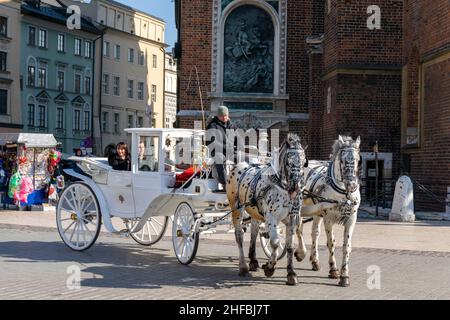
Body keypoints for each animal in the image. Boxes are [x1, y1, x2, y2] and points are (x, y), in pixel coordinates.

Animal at [227, 132, 308, 284]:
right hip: (236, 209)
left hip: (254, 211)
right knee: (239, 235)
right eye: (288, 161)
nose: (295, 187)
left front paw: (291, 273)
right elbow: (275, 242)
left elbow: (289, 246)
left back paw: (253, 260)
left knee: (254, 231)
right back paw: (243, 266)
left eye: (303, 161)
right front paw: (270, 267)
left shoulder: (292, 218)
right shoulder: (271, 217)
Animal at [296, 136, 362, 288]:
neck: (344, 194)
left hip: (316, 212)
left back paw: (314, 260)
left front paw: (344, 276)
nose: (352, 185)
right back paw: (301, 253)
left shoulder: (351, 220)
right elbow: (331, 242)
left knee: (314, 233)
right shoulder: (329, 219)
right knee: (298, 229)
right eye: (342, 160)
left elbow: (346, 246)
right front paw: (333, 270)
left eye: (358, 160)